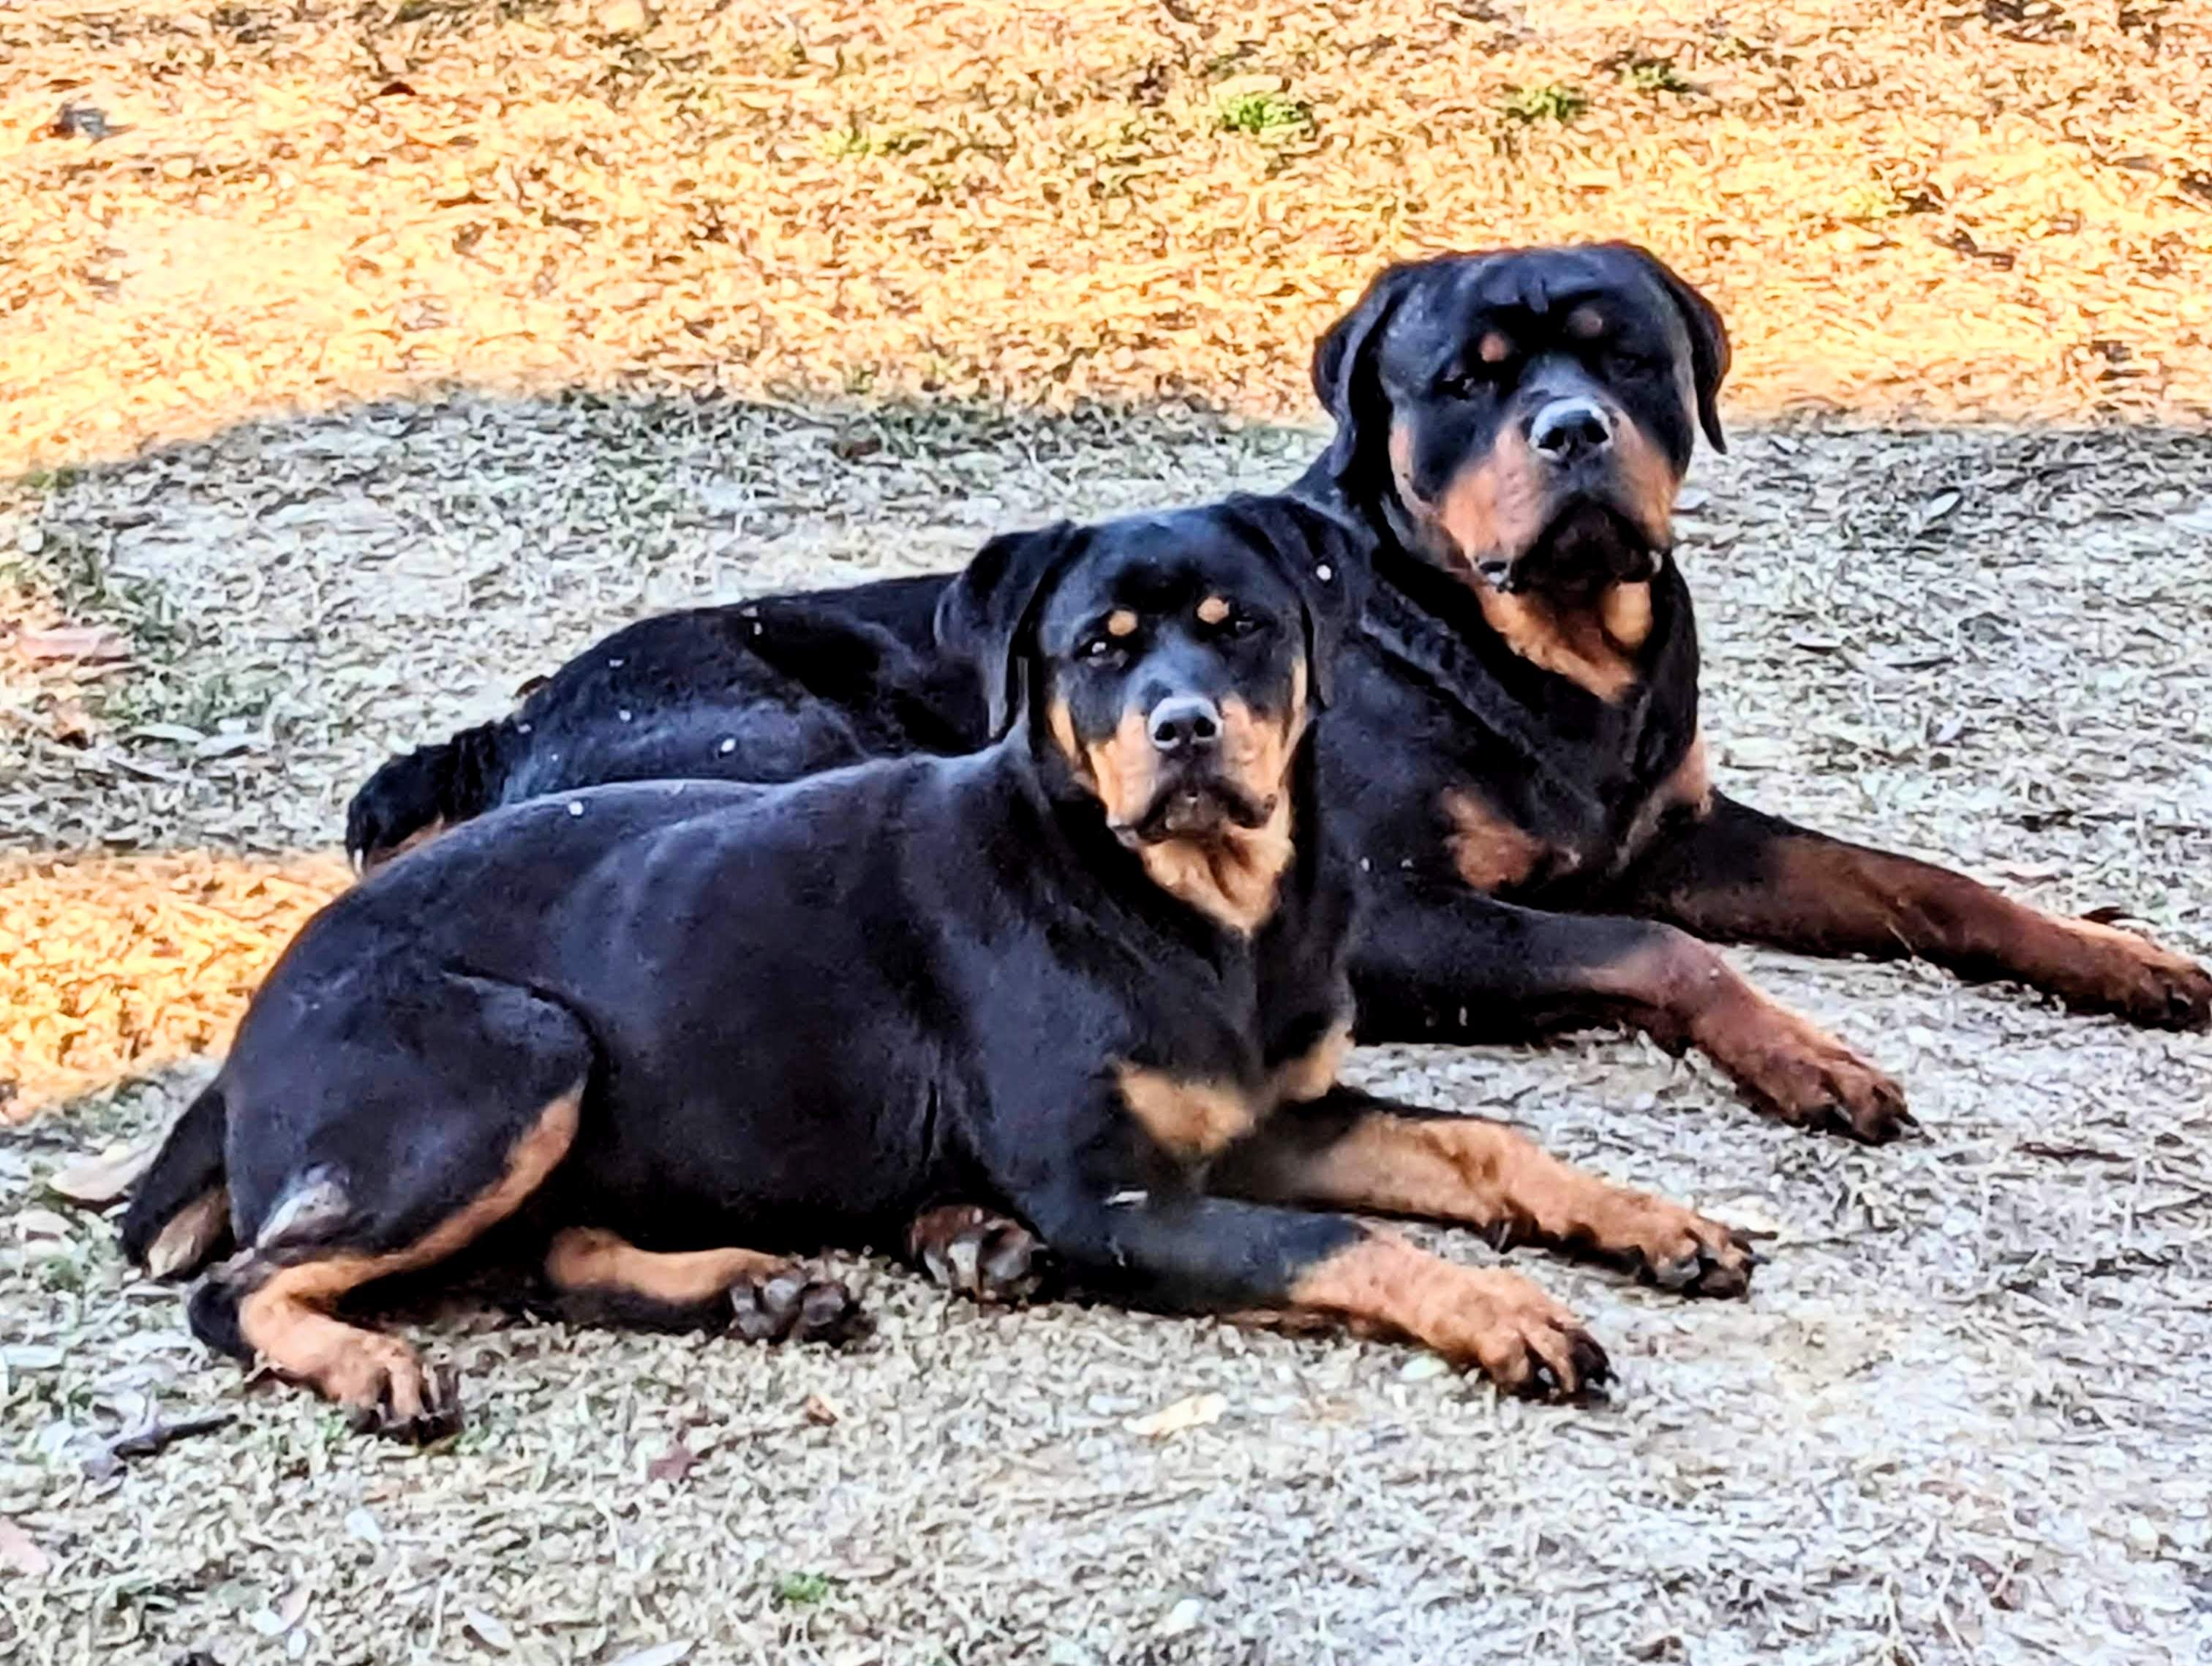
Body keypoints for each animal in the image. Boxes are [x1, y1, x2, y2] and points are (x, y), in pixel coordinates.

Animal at [123, 495, 1754, 1439]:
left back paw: (760, 1289)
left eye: (1240, 628)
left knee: (537, 1255)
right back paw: (373, 1368)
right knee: (245, 1288)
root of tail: (247, 1035)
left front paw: (1650, 1223)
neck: (1178, 908)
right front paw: (1512, 1314)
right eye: (1097, 646)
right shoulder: (1117, 1201)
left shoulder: (1273, 1116)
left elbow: (1476, 1144)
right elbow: (1344, 1243)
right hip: (519, 1054)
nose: (1183, 731)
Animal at [343, 245, 2211, 1143]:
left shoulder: (1681, 827)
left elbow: (1925, 880)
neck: (1543, 656)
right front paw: (1807, 1056)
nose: (1572, 430)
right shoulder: (1402, 912)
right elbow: (1653, 950)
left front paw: (2117, 954)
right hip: (771, 746)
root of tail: (512, 715)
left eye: (1625, 353)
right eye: (1467, 378)